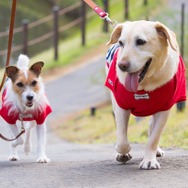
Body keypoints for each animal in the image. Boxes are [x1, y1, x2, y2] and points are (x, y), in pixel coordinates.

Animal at [105, 20, 186, 170]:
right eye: (121, 43)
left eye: (141, 41)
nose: (121, 66)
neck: (145, 84)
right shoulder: (120, 105)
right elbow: (122, 140)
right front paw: (123, 153)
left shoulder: (164, 109)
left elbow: (154, 138)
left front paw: (149, 160)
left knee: (151, 126)